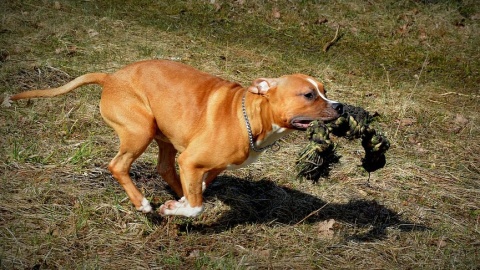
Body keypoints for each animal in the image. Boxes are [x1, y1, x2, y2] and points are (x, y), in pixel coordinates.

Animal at [1, 59, 344, 217]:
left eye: (324, 90)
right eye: (309, 95)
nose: (340, 106)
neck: (250, 115)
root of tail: (110, 78)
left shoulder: (207, 165)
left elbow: (198, 189)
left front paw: (179, 200)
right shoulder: (191, 160)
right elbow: (196, 205)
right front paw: (172, 210)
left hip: (163, 135)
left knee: (165, 167)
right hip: (139, 131)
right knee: (118, 166)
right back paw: (143, 204)